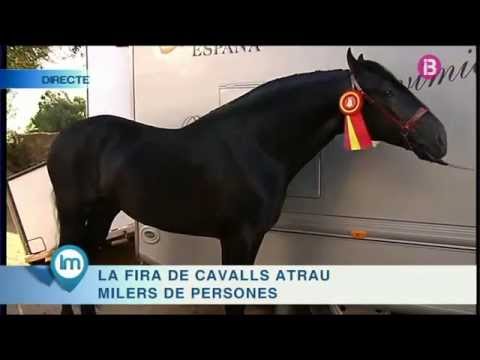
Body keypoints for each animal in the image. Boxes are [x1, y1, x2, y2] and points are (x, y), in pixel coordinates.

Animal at [47, 48, 446, 316]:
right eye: (388, 92)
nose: (440, 137)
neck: (257, 146)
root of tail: (64, 136)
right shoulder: (237, 237)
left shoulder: (252, 238)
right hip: (73, 212)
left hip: (104, 211)